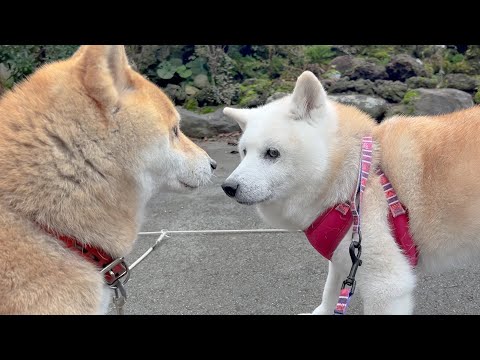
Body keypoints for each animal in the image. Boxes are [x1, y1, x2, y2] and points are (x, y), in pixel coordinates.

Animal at [223, 71, 480, 316]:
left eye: (272, 153)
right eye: (243, 152)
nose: (228, 187)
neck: (357, 180)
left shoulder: (386, 286)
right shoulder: (344, 257)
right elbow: (330, 291)